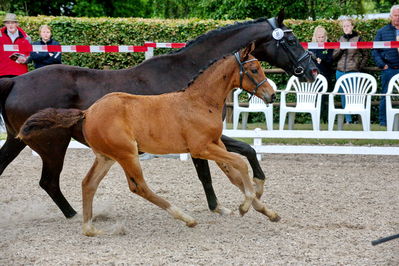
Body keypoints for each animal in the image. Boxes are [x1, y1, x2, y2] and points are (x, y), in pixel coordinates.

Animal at [20, 44, 280, 237]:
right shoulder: (201, 148)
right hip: (127, 153)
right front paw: (245, 206)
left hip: (106, 157)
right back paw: (186, 218)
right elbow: (240, 163)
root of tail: (88, 112)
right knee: (138, 186)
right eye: (254, 69)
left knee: (88, 184)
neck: (199, 102)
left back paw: (90, 228)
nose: (271, 95)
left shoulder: (216, 144)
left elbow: (234, 173)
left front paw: (267, 211)